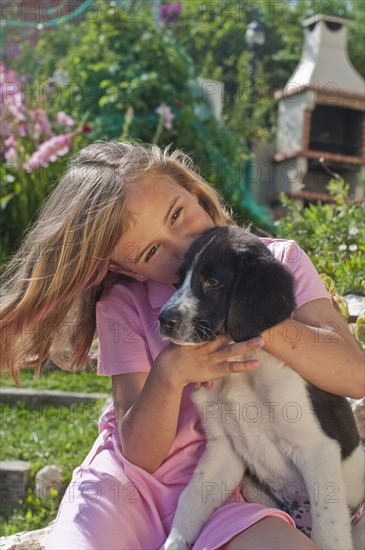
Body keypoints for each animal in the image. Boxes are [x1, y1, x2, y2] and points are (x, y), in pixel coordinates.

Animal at [158, 226, 362, 548]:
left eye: (212, 282)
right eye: (178, 281)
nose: (164, 320)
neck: (240, 369)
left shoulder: (316, 449)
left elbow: (328, 532)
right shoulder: (224, 448)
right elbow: (191, 497)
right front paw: (174, 542)